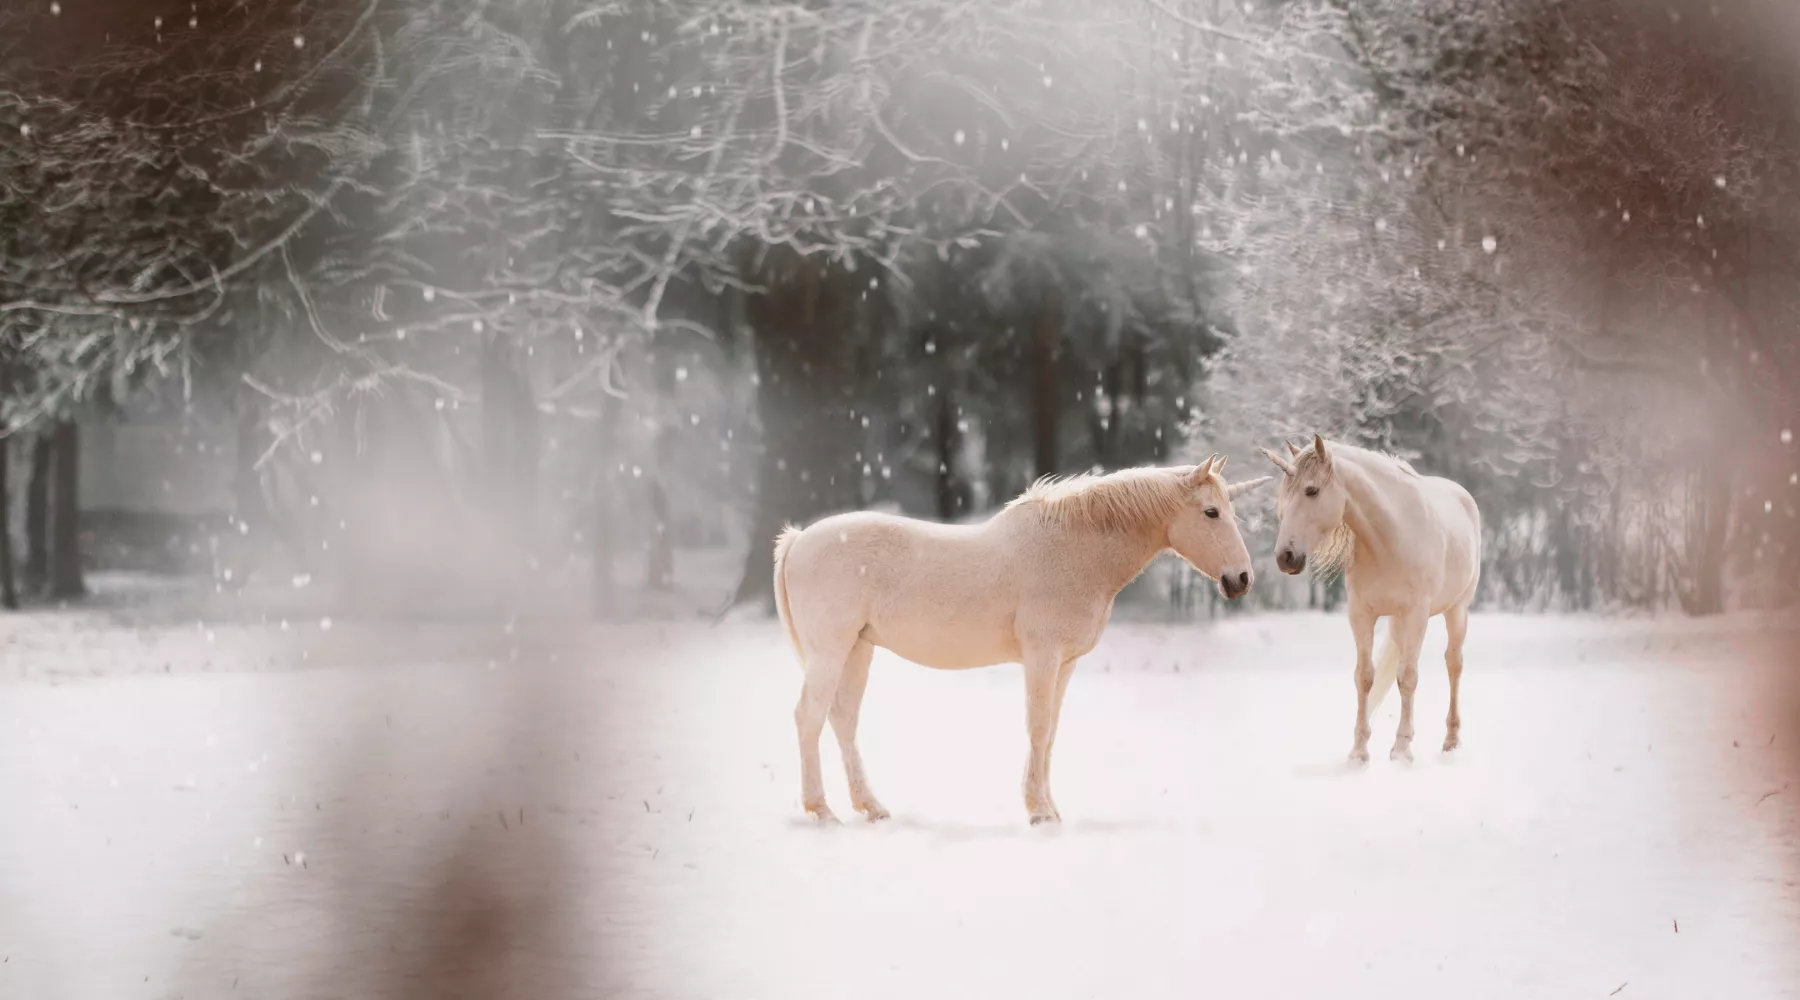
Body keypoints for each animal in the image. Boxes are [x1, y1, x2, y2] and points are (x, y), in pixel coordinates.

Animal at [770, 456, 1267, 823]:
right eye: (1211, 512)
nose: (1241, 579)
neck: (1073, 548)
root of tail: (797, 540)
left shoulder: (1065, 663)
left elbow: (1051, 734)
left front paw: (1050, 809)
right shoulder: (1042, 657)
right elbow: (1038, 727)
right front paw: (1039, 813)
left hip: (857, 649)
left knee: (843, 721)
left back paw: (871, 808)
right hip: (829, 652)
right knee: (808, 718)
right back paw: (822, 810)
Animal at [1260, 437, 1483, 766]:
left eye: (1311, 490)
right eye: (1284, 496)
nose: (1285, 557)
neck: (1389, 537)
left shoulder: (1416, 615)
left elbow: (1408, 677)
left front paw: (1401, 750)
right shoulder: (1361, 614)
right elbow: (1365, 677)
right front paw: (1359, 751)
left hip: (1457, 611)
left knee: (1453, 664)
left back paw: (1451, 741)